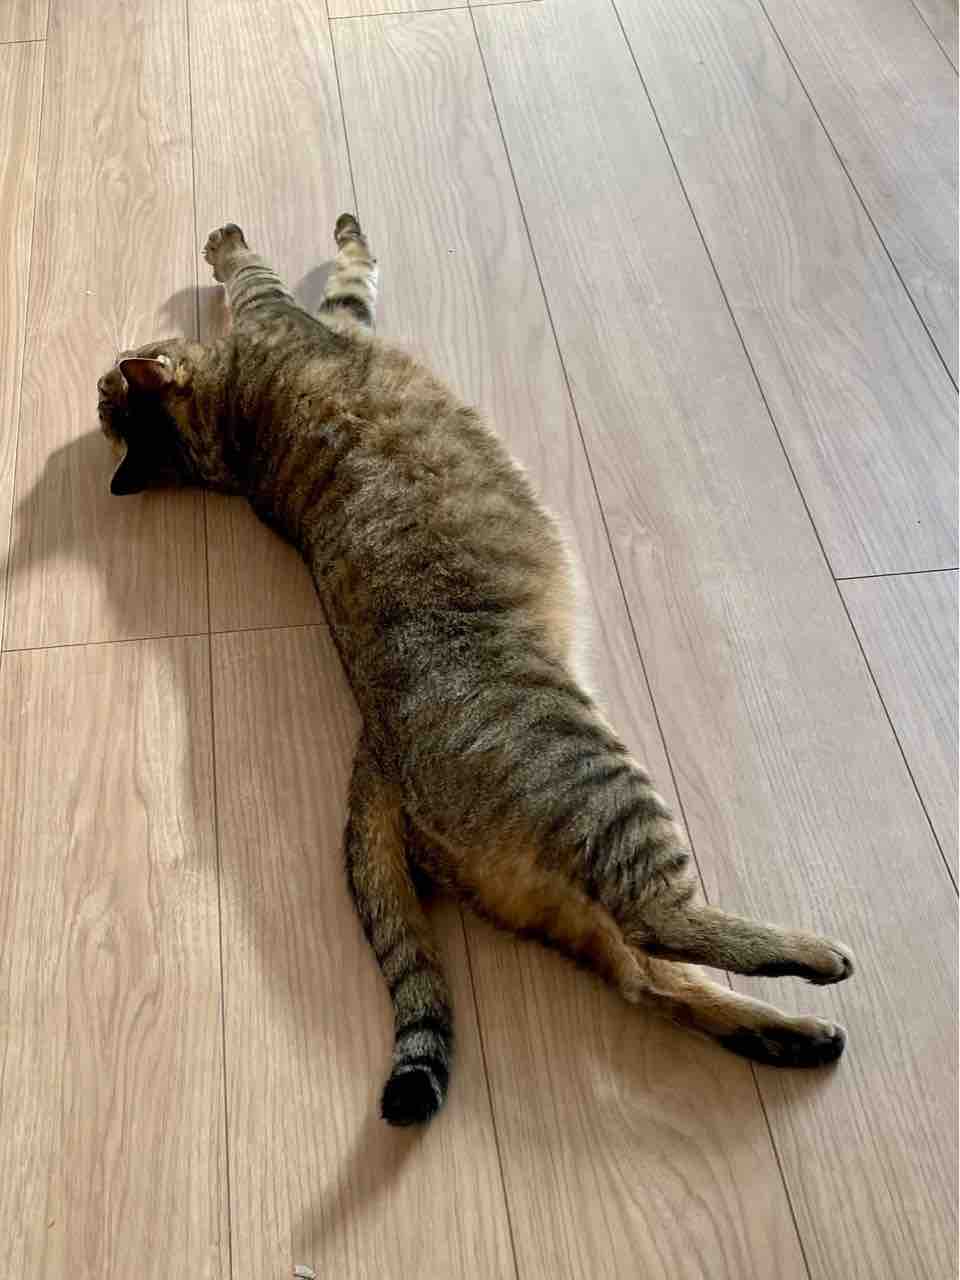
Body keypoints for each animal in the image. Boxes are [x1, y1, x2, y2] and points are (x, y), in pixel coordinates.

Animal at [97, 216, 854, 1126]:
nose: (100, 378)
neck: (227, 433)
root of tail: (378, 755)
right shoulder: (295, 312)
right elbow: (287, 267)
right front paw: (235, 239)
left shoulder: (316, 325)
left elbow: (335, 272)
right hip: (603, 788)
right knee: (658, 923)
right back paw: (815, 957)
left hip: (558, 899)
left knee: (649, 982)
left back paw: (793, 1036)